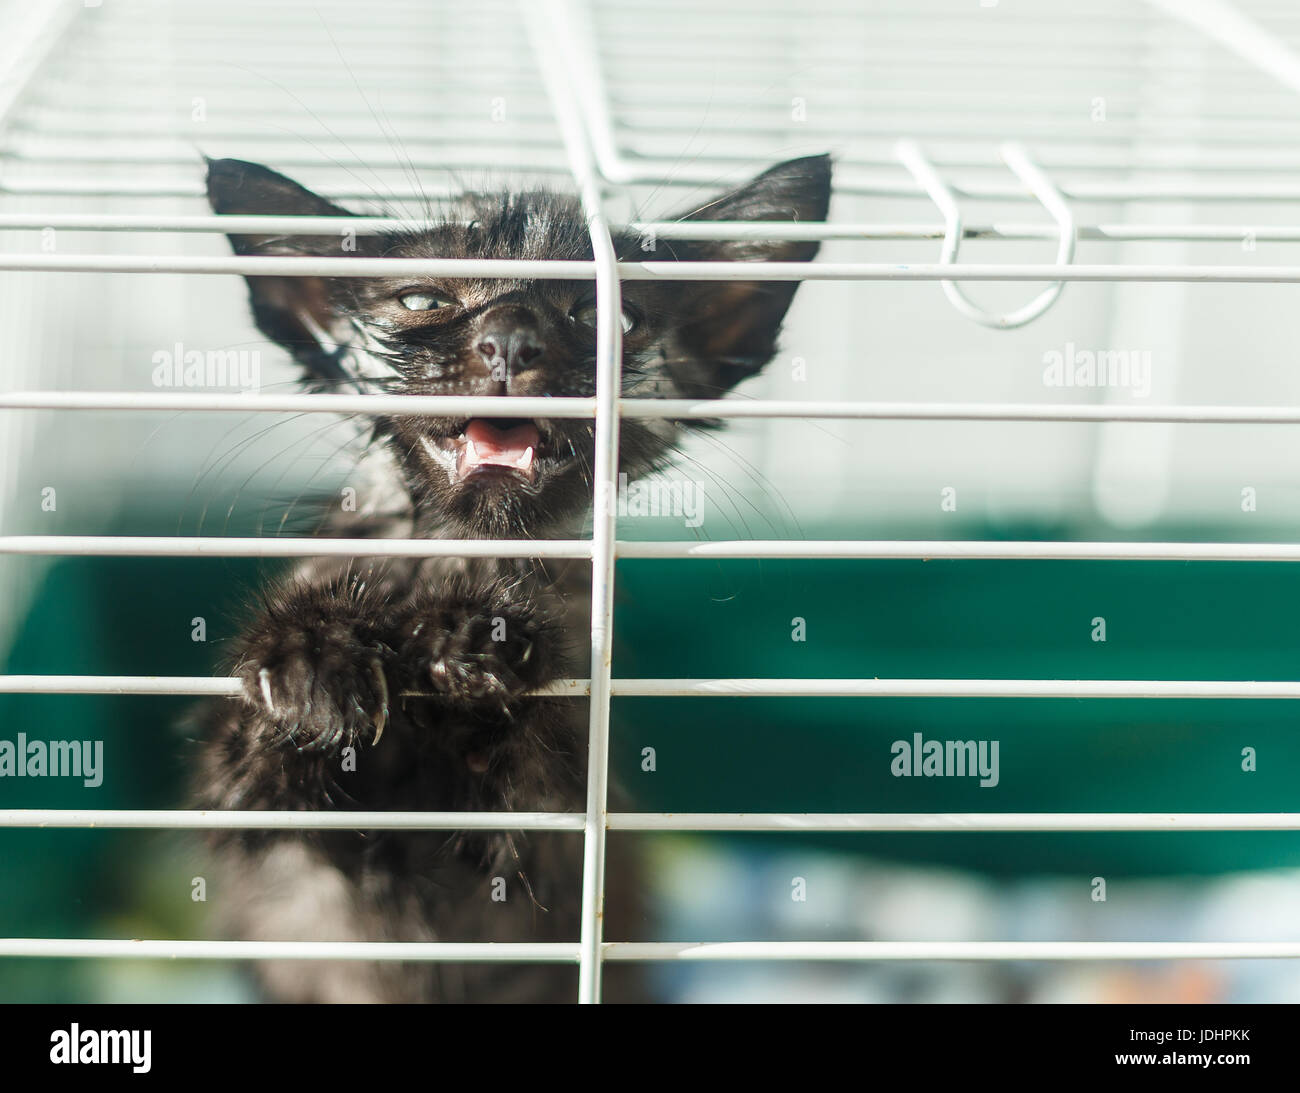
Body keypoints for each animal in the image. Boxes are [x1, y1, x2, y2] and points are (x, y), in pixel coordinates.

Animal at [192, 151, 832, 998]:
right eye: (424, 300)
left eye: (606, 318)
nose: (509, 340)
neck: (455, 555)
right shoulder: (258, 833)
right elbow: (245, 763)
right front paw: (311, 656)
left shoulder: (560, 836)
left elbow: (533, 778)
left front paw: (480, 636)